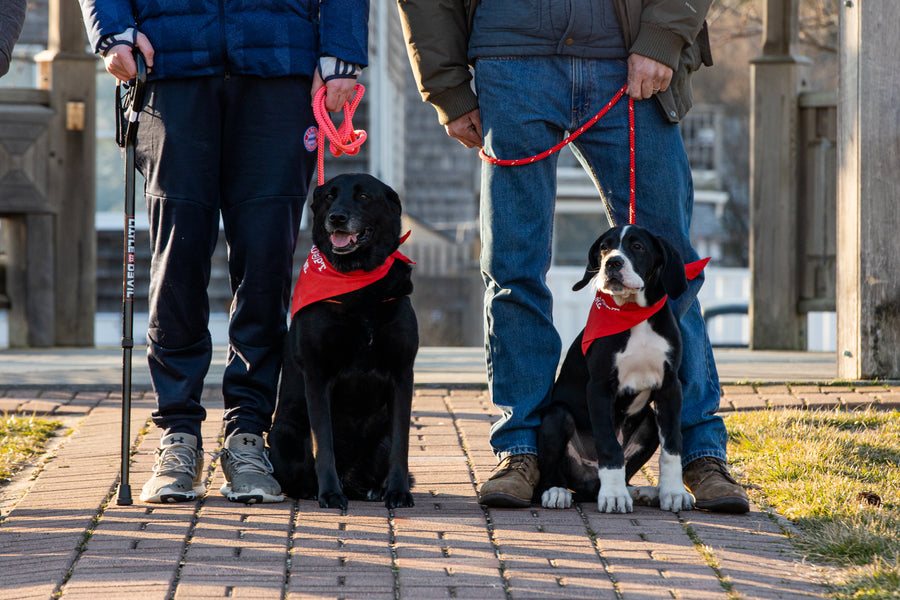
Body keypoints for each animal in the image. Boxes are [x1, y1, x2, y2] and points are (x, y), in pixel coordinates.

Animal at [536, 225, 696, 510]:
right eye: (604, 247)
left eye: (638, 247)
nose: (612, 262)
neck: (634, 314)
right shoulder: (599, 388)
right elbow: (610, 446)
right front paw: (613, 496)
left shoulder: (670, 387)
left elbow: (672, 446)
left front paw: (674, 492)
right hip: (557, 415)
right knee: (554, 469)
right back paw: (556, 491)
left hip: (649, 422)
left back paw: (640, 491)